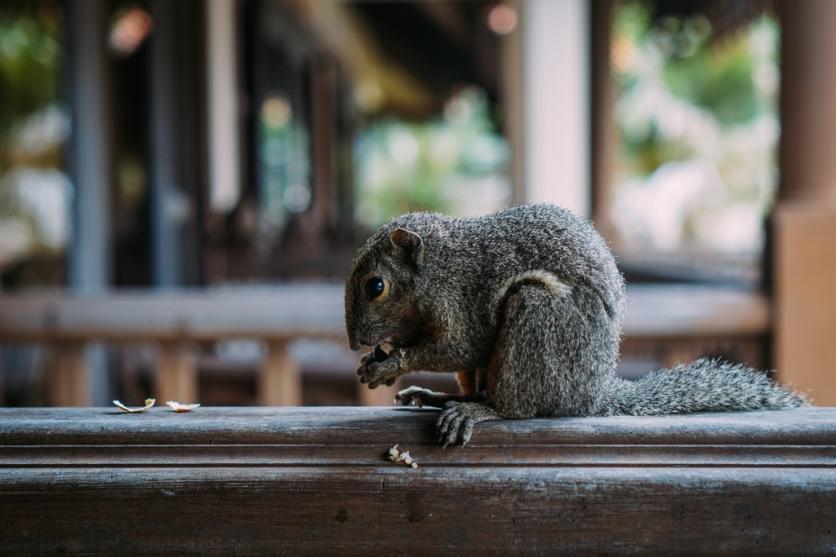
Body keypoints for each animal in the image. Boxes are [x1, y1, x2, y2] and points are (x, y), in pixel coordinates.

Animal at [342, 204, 808, 448]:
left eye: (375, 286)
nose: (353, 341)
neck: (437, 268)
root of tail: (592, 395)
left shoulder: (461, 301)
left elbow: (462, 345)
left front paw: (389, 364)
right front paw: (377, 360)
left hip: (538, 318)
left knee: (516, 407)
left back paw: (478, 410)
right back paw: (439, 397)